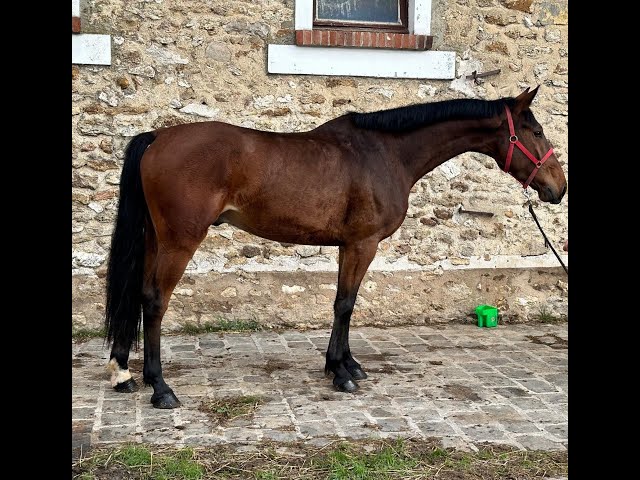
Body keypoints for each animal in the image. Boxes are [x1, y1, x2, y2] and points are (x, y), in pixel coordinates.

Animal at [104, 86, 567, 409]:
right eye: (537, 131)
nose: (557, 188)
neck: (386, 153)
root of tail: (158, 137)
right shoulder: (363, 244)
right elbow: (345, 304)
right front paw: (341, 372)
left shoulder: (348, 245)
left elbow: (344, 303)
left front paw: (344, 364)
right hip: (179, 241)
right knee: (155, 301)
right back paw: (161, 388)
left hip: (155, 238)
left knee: (137, 293)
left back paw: (124, 373)